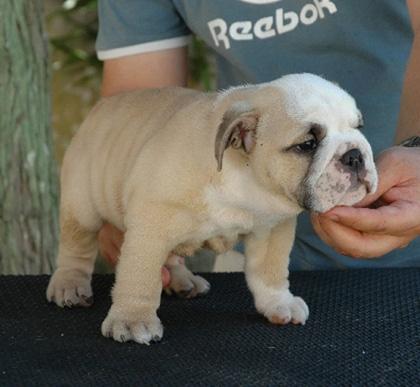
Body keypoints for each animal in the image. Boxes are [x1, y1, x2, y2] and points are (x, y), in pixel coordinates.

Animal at [46, 73, 378, 346]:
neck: (246, 179)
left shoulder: (274, 227)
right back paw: (69, 284)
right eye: (307, 144)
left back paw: (183, 280)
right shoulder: (150, 226)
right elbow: (139, 275)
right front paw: (132, 319)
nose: (354, 154)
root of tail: (99, 109)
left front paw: (278, 303)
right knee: (77, 247)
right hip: (83, 205)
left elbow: (270, 271)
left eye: (358, 127)